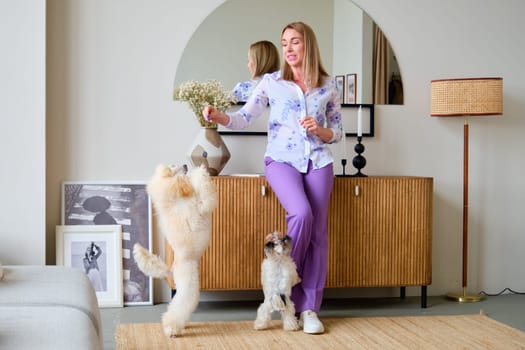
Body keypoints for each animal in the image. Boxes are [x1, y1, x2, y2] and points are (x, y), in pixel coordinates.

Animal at [135, 164, 219, 336]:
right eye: (173, 166)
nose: (186, 165)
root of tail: (171, 269)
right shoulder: (201, 204)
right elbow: (205, 194)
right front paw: (200, 171)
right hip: (188, 287)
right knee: (179, 307)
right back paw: (171, 328)